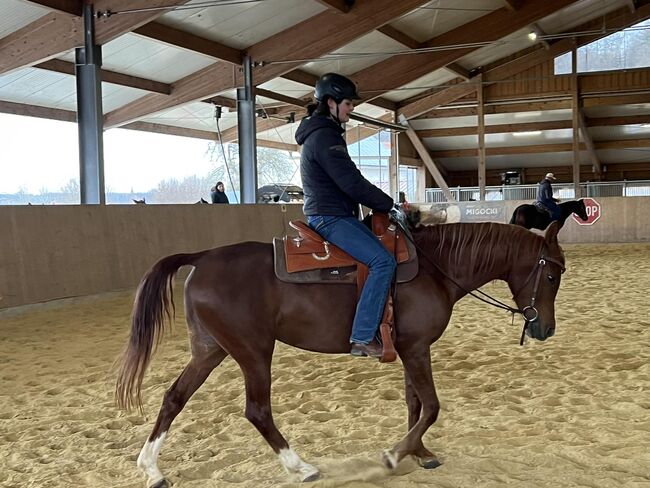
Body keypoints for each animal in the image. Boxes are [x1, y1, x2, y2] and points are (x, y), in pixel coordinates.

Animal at [117, 222, 568, 488]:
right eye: (551, 274)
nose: (545, 329)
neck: (436, 269)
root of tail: (203, 257)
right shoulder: (417, 349)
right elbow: (432, 405)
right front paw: (393, 455)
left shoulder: (411, 348)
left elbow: (415, 403)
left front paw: (419, 453)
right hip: (253, 351)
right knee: (257, 410)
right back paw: (301, 467)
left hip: (210, 350)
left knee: (174, 397)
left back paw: (152, 469)